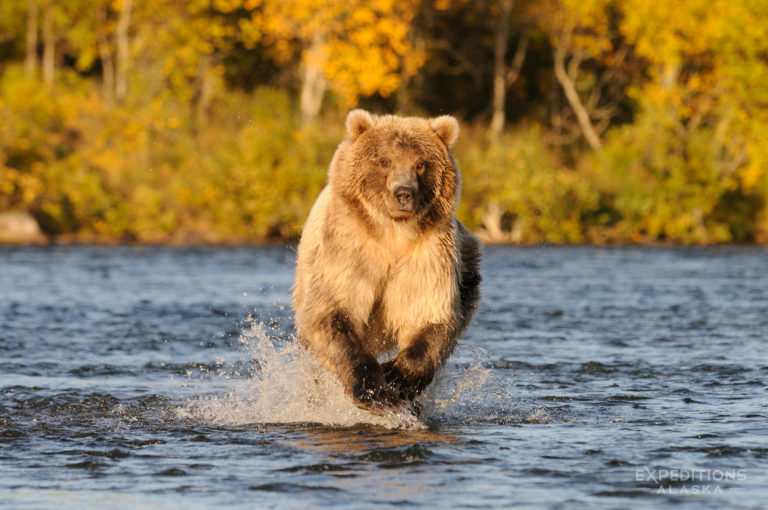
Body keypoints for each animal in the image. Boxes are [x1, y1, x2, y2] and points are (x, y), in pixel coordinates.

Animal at [293, 109, 481, 413]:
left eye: (420, 164)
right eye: (384, 160)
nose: (403, 193)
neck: (393, 235)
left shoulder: (428, 255)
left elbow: (429, 315)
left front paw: (395, 376)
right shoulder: (352, 249)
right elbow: (332, 313)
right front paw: (375, 392)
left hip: (468, 274)